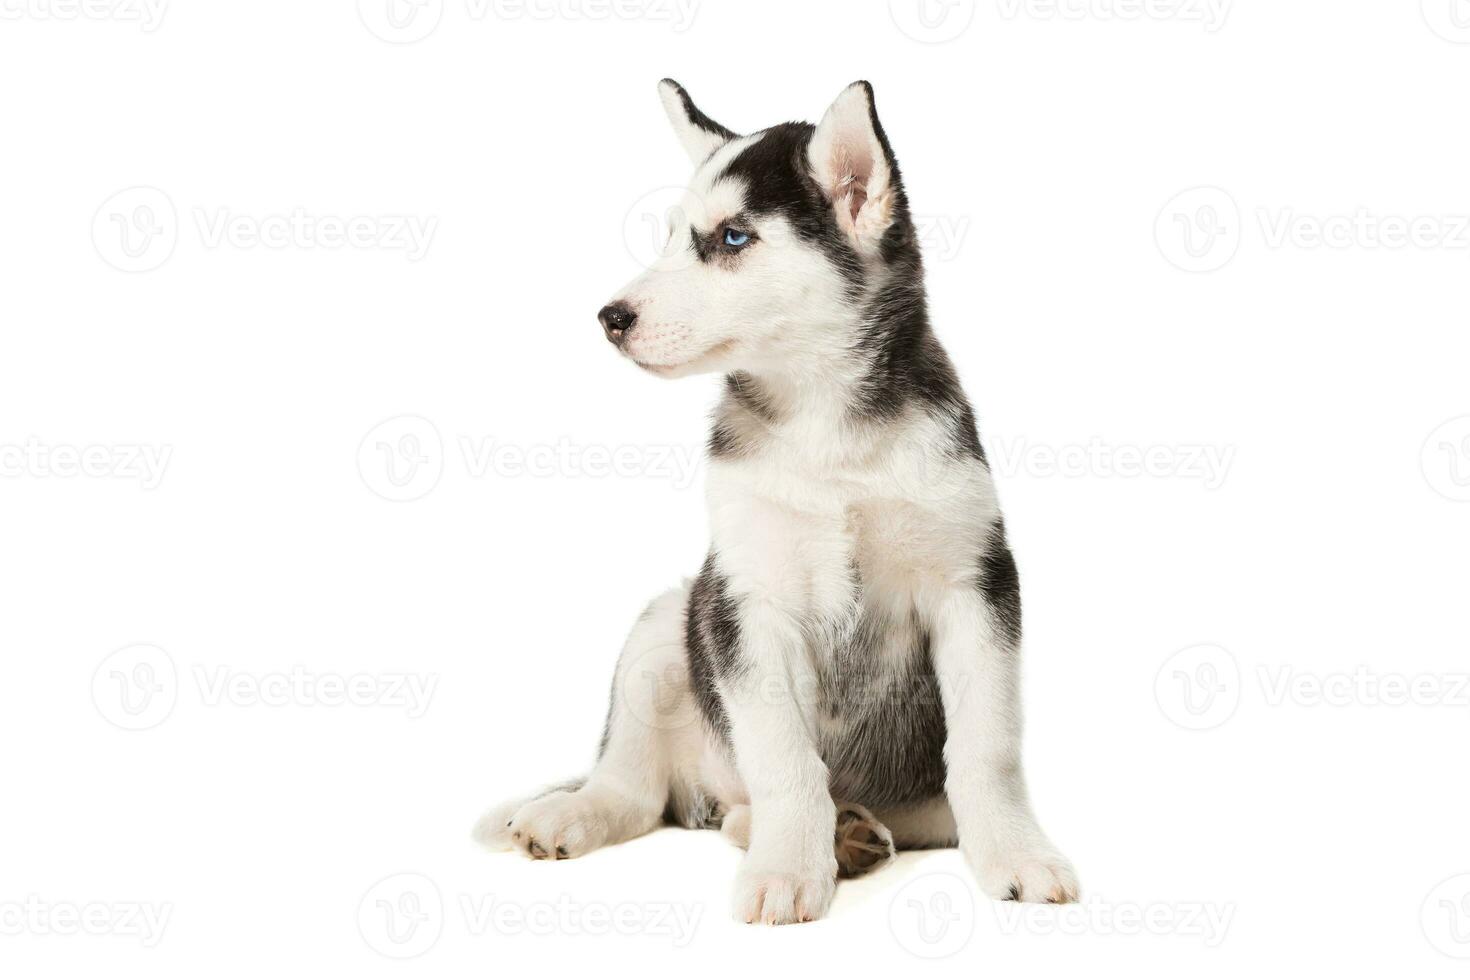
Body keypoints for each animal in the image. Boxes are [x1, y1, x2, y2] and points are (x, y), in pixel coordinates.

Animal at [476, 78, 1076, 928]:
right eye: (671, 237)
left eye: (732, 238)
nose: (611, 318)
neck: (826, 431)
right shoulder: (748, 602)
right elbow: (784, 756)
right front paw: (789, 867)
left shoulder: (975, 584)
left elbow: (988, 748)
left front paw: (1018, 855)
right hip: (669, 622)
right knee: (639, 790)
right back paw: (585, 812)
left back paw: (850, 832)